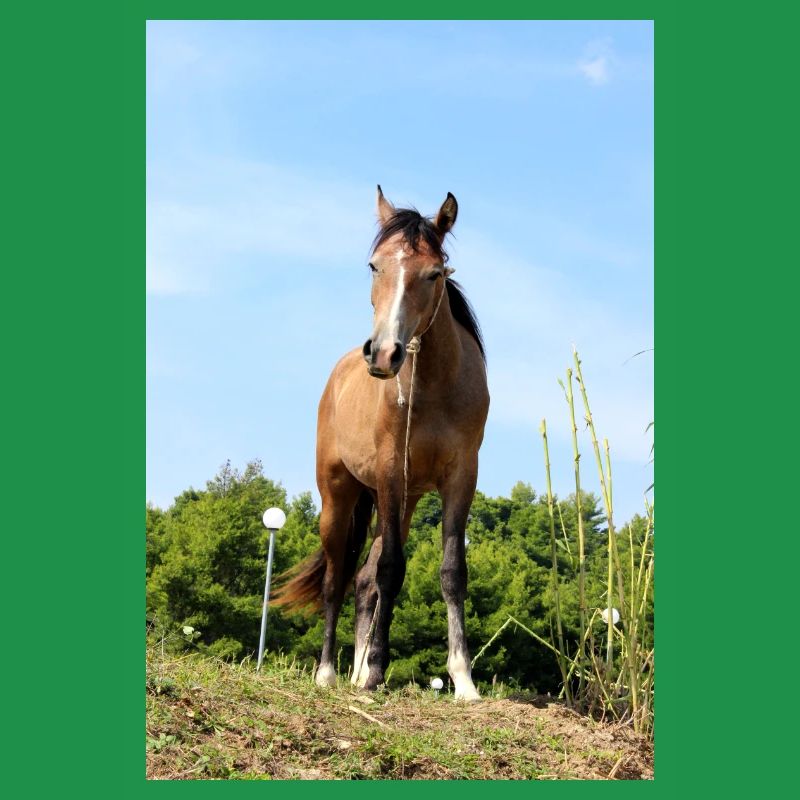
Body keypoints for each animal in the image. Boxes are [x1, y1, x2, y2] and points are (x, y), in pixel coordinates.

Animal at [272, 186, 489, 701]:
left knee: (362, 581)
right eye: (374, 266)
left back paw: (352, 670)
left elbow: (451, 572)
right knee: (337, 581)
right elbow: (391, 571)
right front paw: (374, 673)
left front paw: (463, 679)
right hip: (339, 497)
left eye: (434, 273)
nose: (384, 353)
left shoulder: (461, 477)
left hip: (402, 502)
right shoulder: (392, 473)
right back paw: (330, 673)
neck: (433, 386)